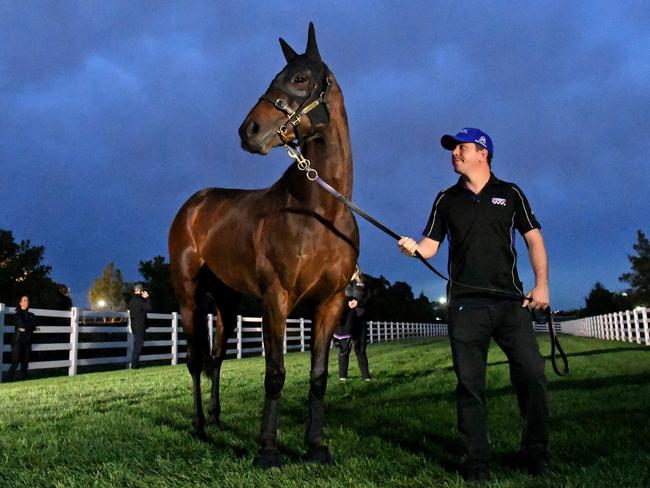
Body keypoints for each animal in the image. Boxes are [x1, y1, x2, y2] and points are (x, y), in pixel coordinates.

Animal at [167, 23, 356, 468]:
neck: (318, 211)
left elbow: (318, 377)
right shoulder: (276, 298)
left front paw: (316, 446)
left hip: (226, 303)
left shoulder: (331, 302)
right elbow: (275, 374)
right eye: (275, 77)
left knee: (217, 357)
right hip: (188, 297)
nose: (247, 131)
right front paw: (268, 449)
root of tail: (193, 205)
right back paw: (199, 425)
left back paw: (216, 416)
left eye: (300, 79)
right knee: (195, 360)